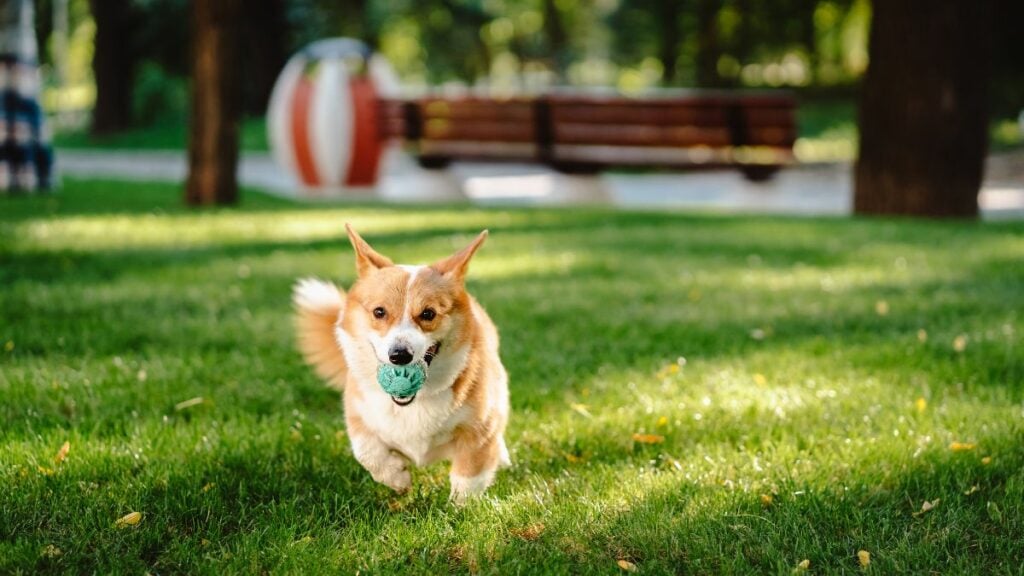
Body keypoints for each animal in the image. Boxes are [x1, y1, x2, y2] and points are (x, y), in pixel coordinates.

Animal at [292, 222, 507, 500]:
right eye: (379, 312)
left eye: (428, 314)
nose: (399, 355)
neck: (415, 402)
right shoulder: (358, 413)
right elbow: (366, 450)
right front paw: (396, 478)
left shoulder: (480, 428)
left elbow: (469, 474)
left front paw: (460, 505)